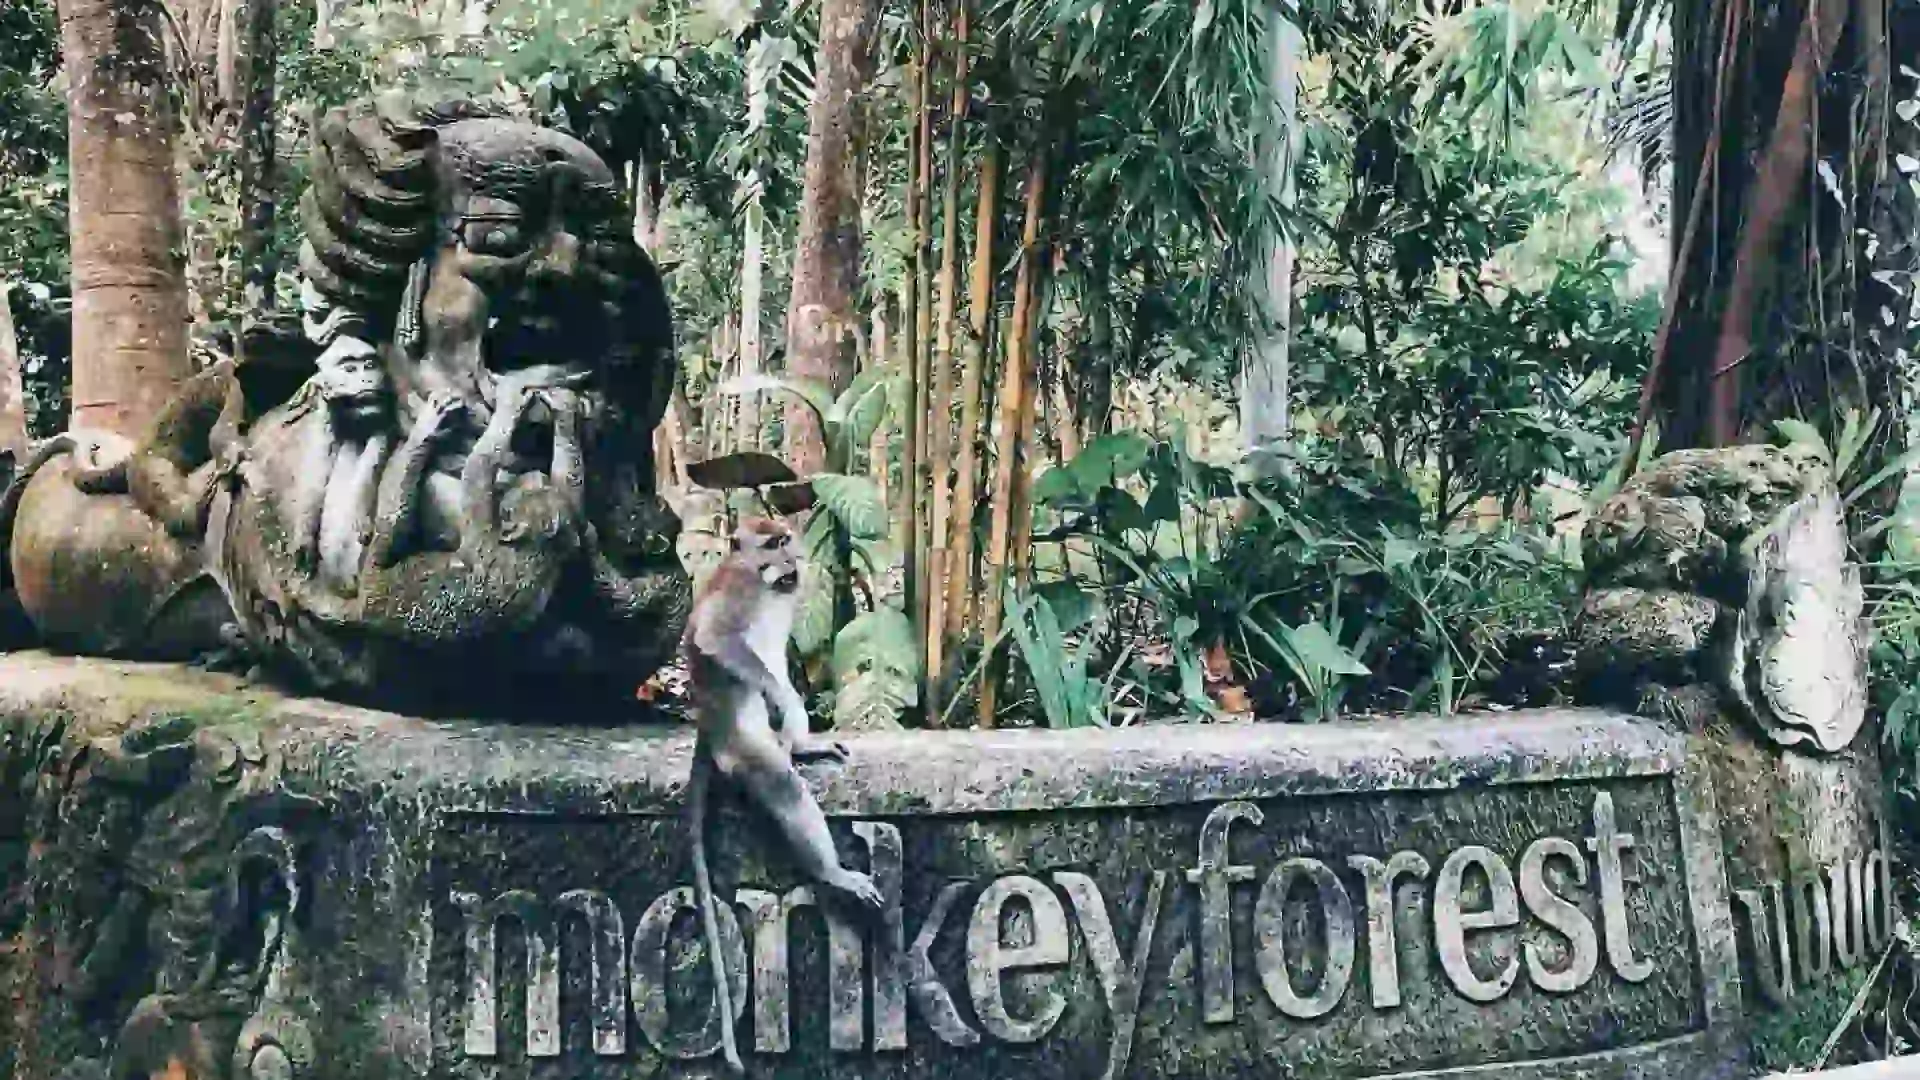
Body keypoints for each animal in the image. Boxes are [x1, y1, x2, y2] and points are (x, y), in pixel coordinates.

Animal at [684, 518, 885, 1075]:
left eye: (787, 540)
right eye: (771, 544)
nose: (793, 560)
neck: (763, 583)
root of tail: (710, 734)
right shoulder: (736, 594)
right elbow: (715, 638)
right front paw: (779, 694)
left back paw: (800, 744)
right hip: (745, 749)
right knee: (782, 784)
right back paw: (831, 871)